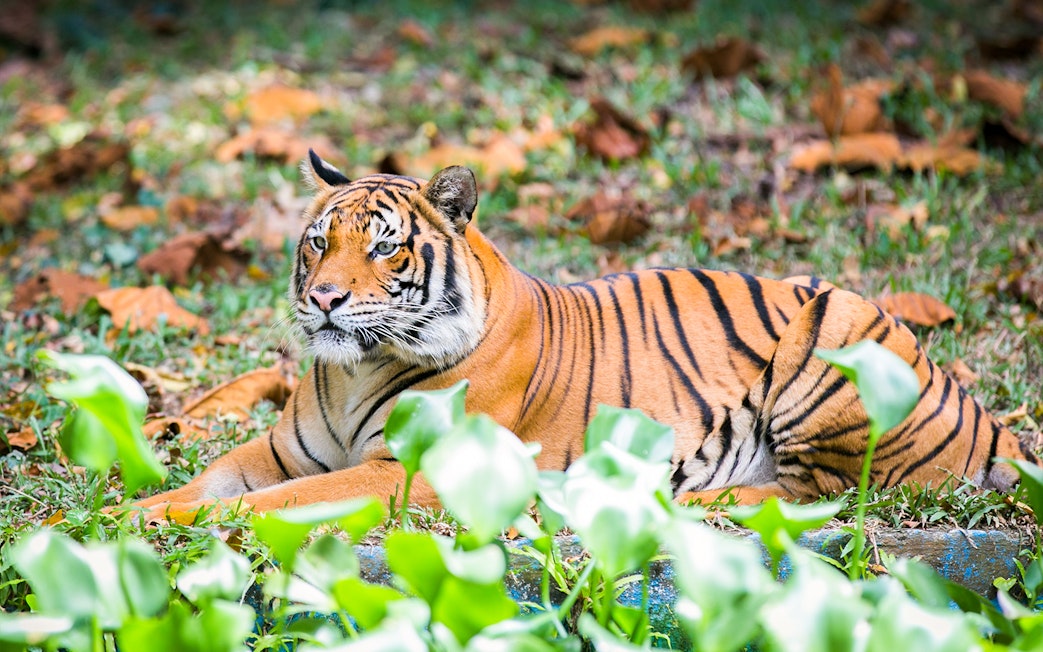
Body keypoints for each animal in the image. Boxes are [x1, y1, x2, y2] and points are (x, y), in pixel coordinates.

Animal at [134, 149, 1036, 519]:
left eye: (385, 246)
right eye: (319, 242)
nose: (323, 299)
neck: (353, 370)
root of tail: (980, 410)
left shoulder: (406, 472)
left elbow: (277, 504)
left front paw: (155, 526)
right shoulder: (280, 450)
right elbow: (211, 480)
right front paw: (121, 512)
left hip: (835, 329)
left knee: (822, 493)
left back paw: (683, 500)